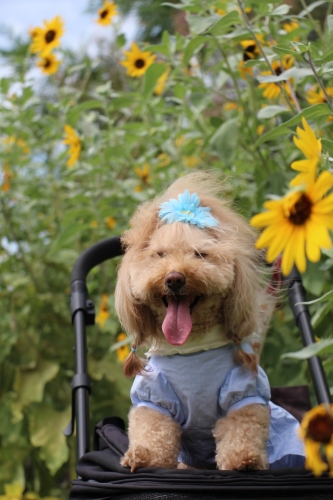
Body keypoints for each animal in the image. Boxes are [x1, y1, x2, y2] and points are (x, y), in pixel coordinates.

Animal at [115, 172, 304, 472]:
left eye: (200, 254)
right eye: (160, 255)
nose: (174, 278)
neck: (192, 348)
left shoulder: (244, 392)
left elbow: (242, 428)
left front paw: (243, 459)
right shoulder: (153, 397)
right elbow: (151, 429)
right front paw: (144, 457)